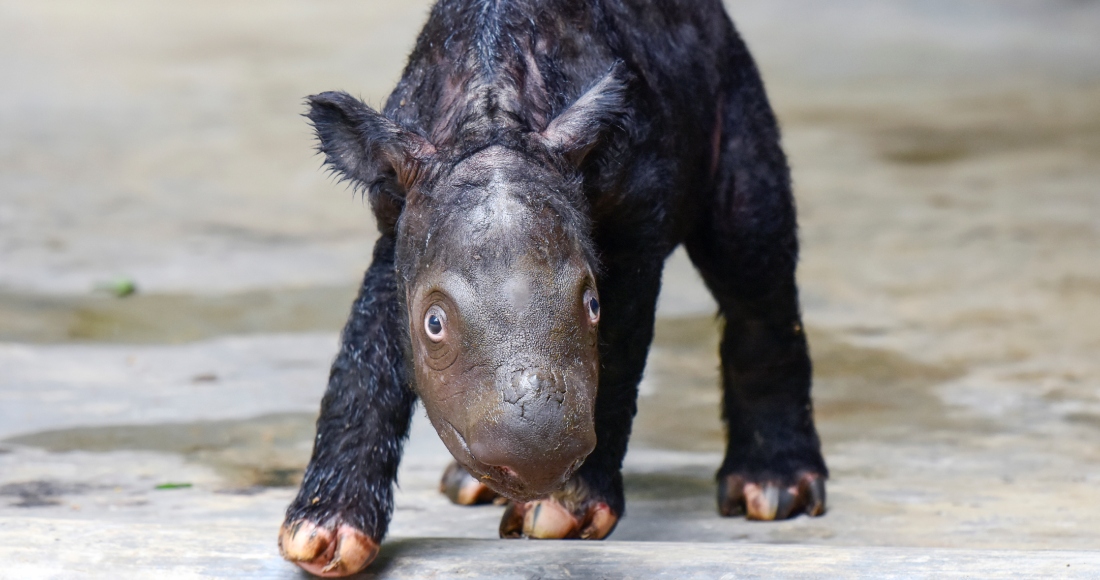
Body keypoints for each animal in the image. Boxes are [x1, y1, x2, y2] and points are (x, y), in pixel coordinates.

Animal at [275, 0, 827, 572]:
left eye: (592, 305)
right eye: (433, 324)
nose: (536, 464)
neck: (491, 121)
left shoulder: (635, 221)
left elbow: (619, 352)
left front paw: (561, 513)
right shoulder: (399, 222)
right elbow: (366, 350)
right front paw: (321, 536)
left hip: (732, 79)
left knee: (751, 255)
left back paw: (772, 491)